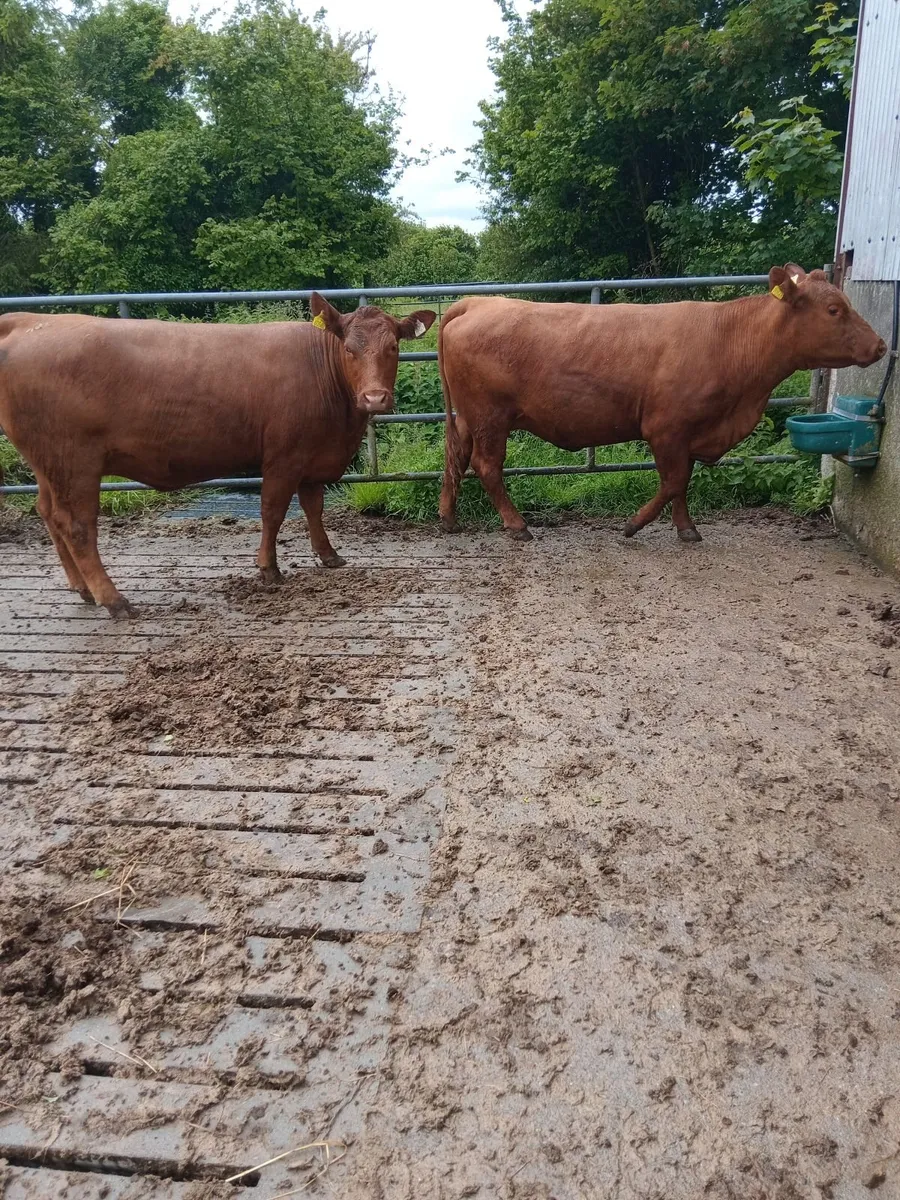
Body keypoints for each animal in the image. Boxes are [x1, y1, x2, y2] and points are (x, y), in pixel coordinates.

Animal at [0, 294, 436, 616]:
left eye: (393, 347)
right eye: (349, 348)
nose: (375, 397)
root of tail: (29, 321)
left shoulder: (313, 456)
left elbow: (314, 507)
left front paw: (328, 555)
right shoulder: (284, 456)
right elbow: (273, 511)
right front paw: (268, 569)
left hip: (47, 464)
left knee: (48, 514)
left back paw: (83, 589)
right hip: (75, 462)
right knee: (77, 526)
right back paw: (114, 600)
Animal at [437, 265, 886, 544]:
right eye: (834, 309)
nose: (881, 345)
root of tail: (476, 302)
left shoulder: (689, 433)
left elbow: (682, 483)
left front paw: (686, 528)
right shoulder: (666, 428)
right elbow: (673, 481)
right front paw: (633, 525)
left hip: (468, 417)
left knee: (455, 458)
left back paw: (448, 519)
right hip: (490, 417)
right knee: (487, 466)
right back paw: (517, 526)